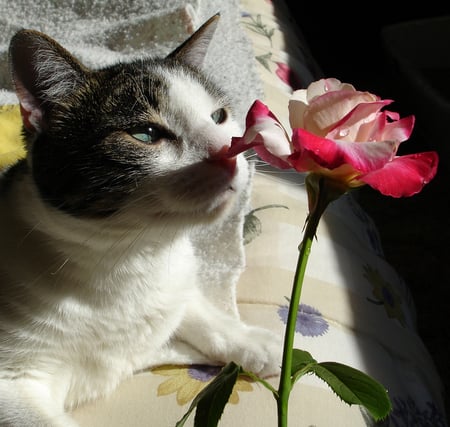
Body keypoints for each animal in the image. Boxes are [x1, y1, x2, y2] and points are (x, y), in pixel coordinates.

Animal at [0, 15, 282, 426]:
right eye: (145, 134)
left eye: (219, 116)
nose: (230, 153)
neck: (132, 256)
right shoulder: (12, 384)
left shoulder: (175, 280)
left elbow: (197, 310)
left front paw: (250, 340)